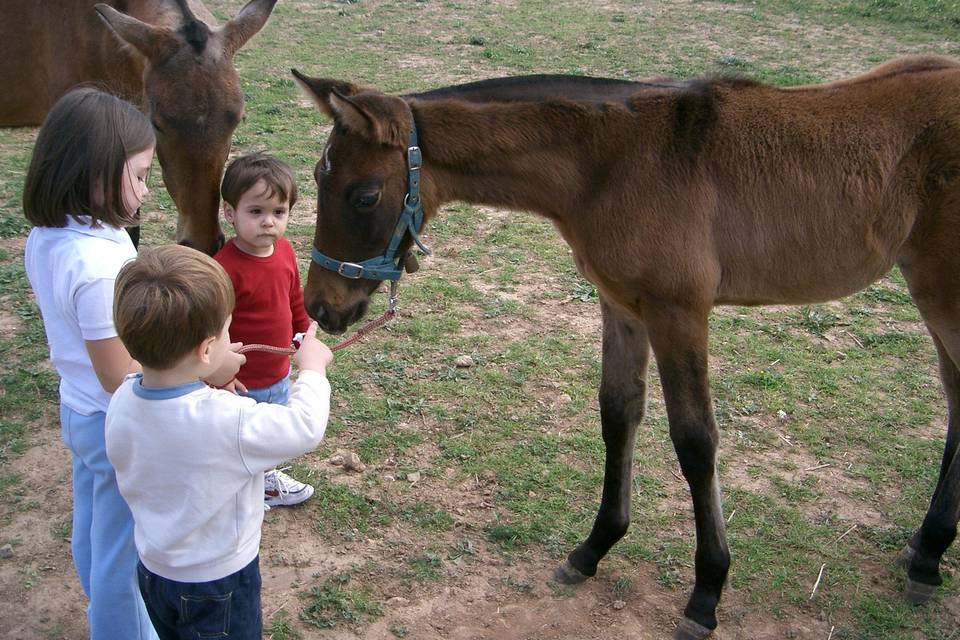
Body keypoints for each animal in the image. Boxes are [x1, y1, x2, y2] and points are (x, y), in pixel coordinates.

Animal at [290, 56, 960, 640]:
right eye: (318, 180)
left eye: (364, 195)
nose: (321, 306)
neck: (613, 162)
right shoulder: (621, 306)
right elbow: (618, 414)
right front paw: (593, 548)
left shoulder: (678, 313)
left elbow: (695, 442)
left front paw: (706, 593)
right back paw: (926, 551)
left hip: (941, 289)